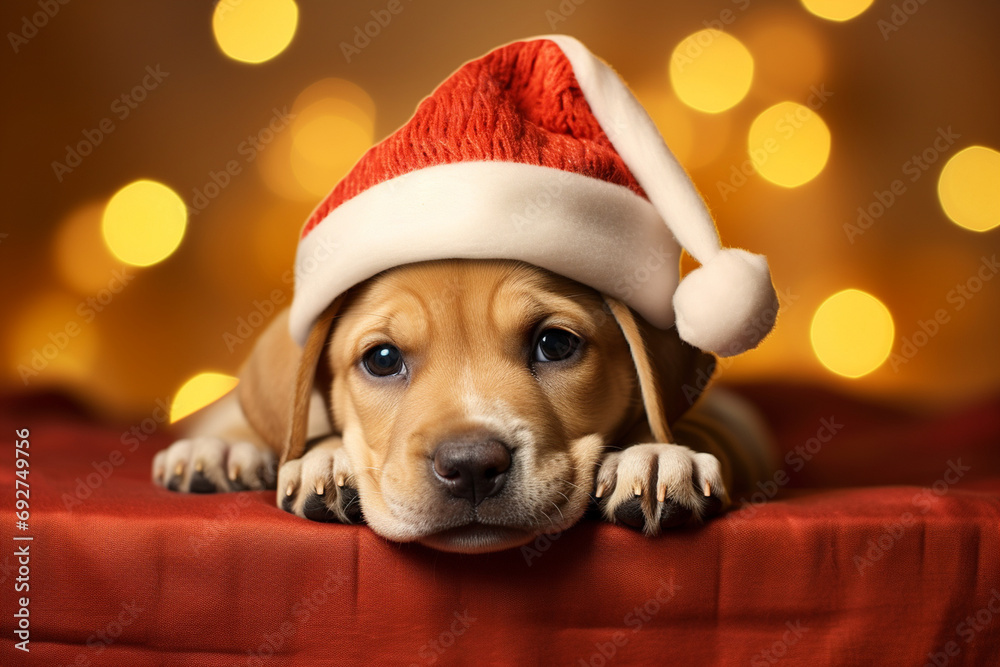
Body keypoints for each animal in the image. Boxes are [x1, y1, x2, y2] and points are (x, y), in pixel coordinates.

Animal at [152, 260, 772, 552]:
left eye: (555, 345)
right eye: (382, 359)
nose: (472, 466)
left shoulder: (738, 423)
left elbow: (692, 427)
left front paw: (659, 457)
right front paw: (325, 459)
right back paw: (218, 451)